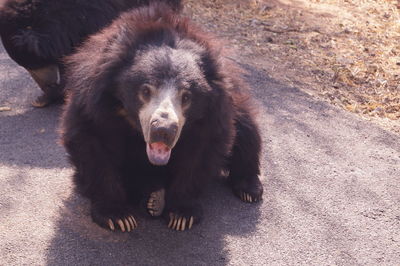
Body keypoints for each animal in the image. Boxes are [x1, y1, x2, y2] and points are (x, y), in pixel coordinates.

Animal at [60, 3, 262, 232]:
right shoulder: (91, 100)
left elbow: (201, 152)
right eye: (145, 90)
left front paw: (182, 213)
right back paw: (153, 199)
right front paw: (117, 215)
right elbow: (91, 144)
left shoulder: (212, 114)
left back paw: (248, 189)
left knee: (247, 131)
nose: (164, 130)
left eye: (186, 96)